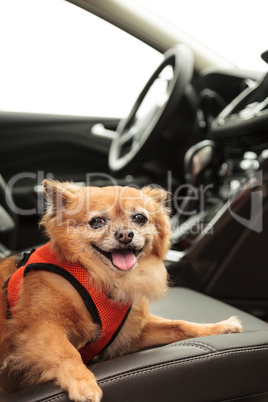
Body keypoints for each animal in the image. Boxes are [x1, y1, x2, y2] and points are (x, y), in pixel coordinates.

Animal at [0, 181, 243, 398]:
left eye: (140, 218)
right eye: (96, 222)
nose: (125, 234)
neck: (100, 277)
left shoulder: (130, 334)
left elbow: (180, 325)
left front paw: (220, 327)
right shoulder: (40, 330)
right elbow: (67, 352)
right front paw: (83, 382)